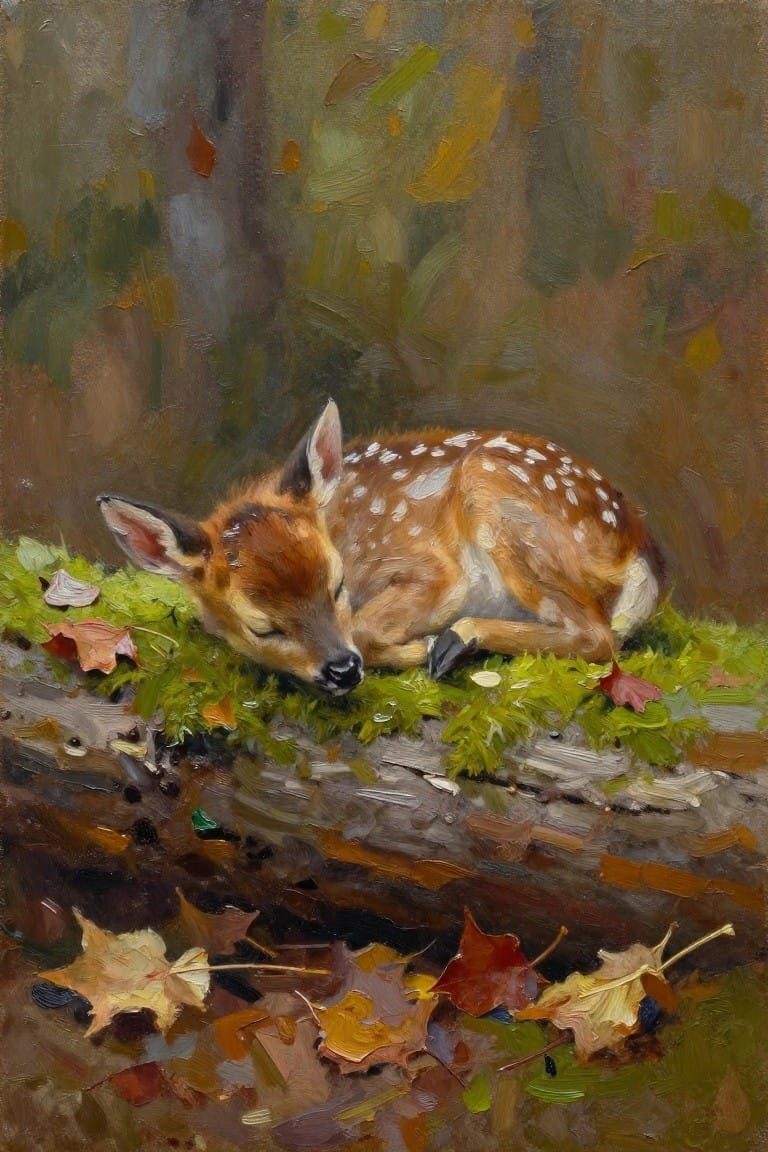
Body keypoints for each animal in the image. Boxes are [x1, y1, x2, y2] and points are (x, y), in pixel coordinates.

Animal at [98, 399, 662, 696]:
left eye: (338, 585)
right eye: (262, 626)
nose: (341, 669)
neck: (343, 531)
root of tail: (637, 540)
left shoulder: (435, 570)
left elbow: (369, 629)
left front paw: (420, 647)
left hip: (495, 496)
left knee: (598, 635)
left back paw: (456, 640)